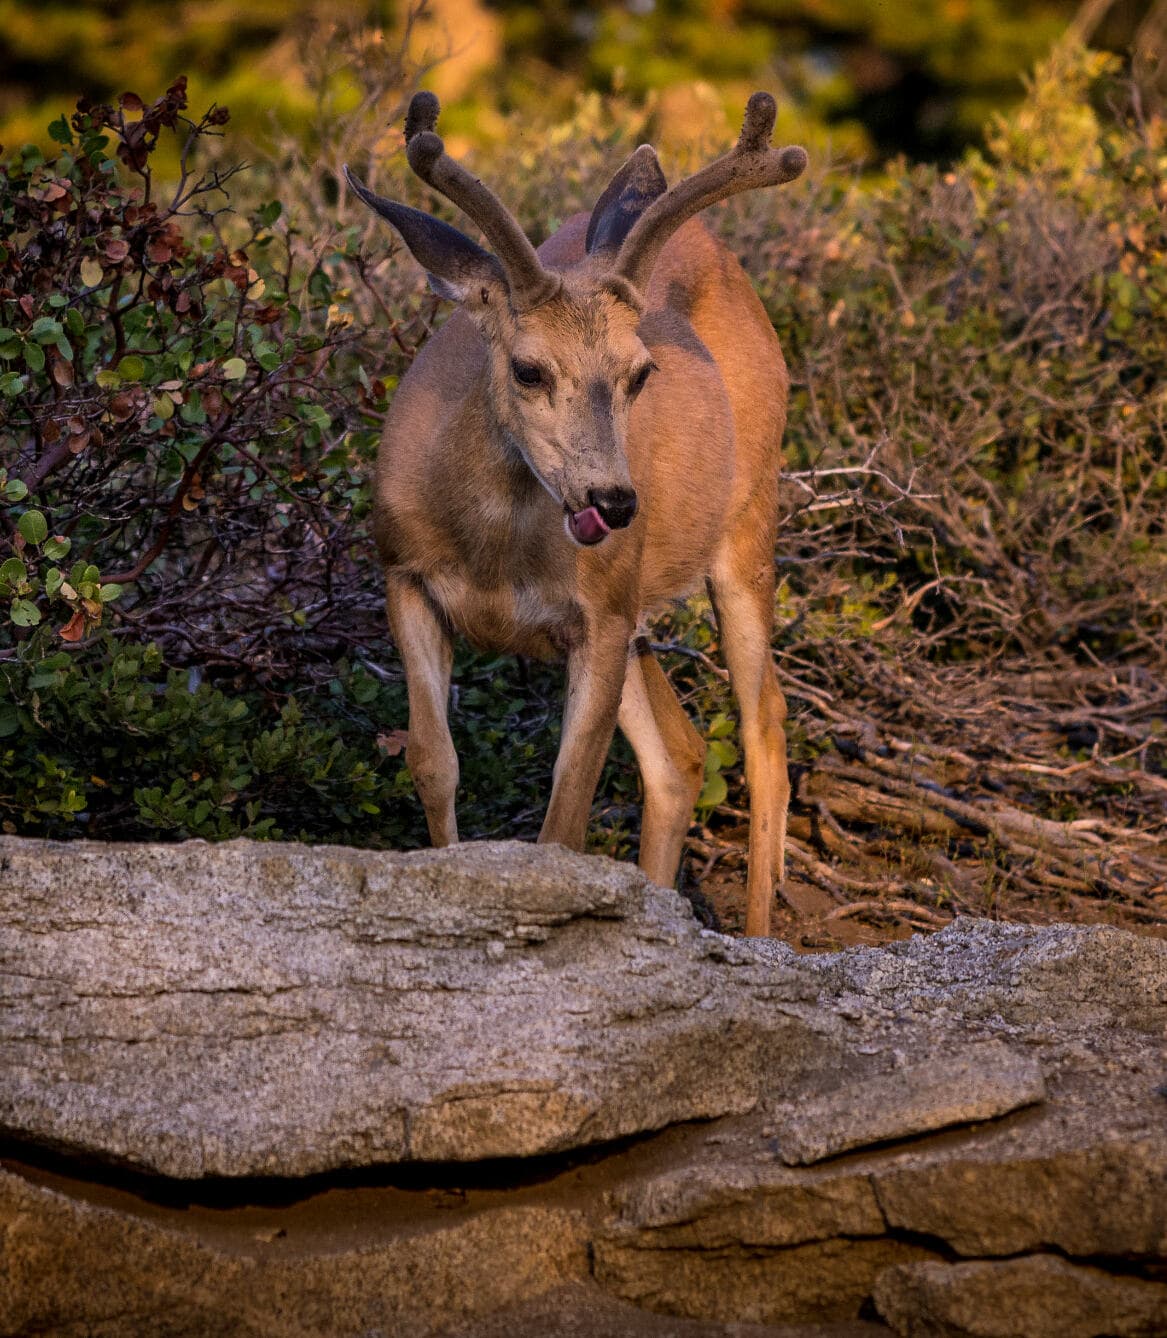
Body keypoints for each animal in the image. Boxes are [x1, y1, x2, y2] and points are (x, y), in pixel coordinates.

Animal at [344, 90, 806, 937]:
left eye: (640, 373)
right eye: (528, 369)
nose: (613, 501)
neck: (494, 549)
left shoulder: (597, 619)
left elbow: (565, 815)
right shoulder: (404, 577)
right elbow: (433, 762)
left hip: (746, 522)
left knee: (763, 728)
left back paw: (758, 938)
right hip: (637, 607)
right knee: (681, 754)